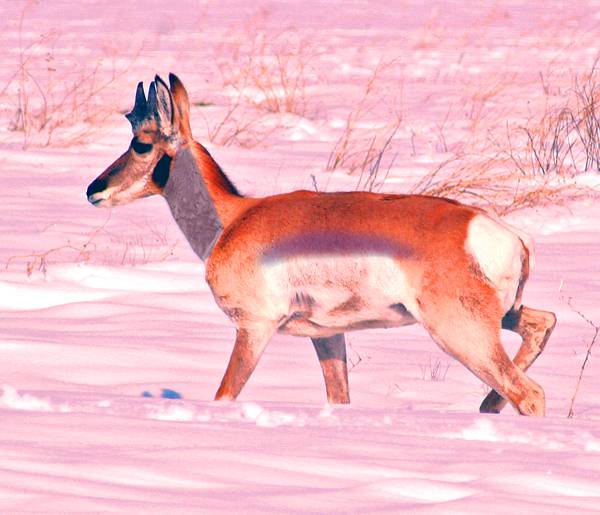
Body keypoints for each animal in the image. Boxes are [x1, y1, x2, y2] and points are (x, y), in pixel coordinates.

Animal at [86, 74, 556, 418]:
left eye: (141, 144)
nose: (94, 190)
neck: (234, 218)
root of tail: (502, 233)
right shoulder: (328, 337)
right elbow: (339, 399)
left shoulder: (254, 328)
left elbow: (225, 395)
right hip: (503, 317)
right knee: (542, 325)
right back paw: (487, 405)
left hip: (461, 333)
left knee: (529, 392)